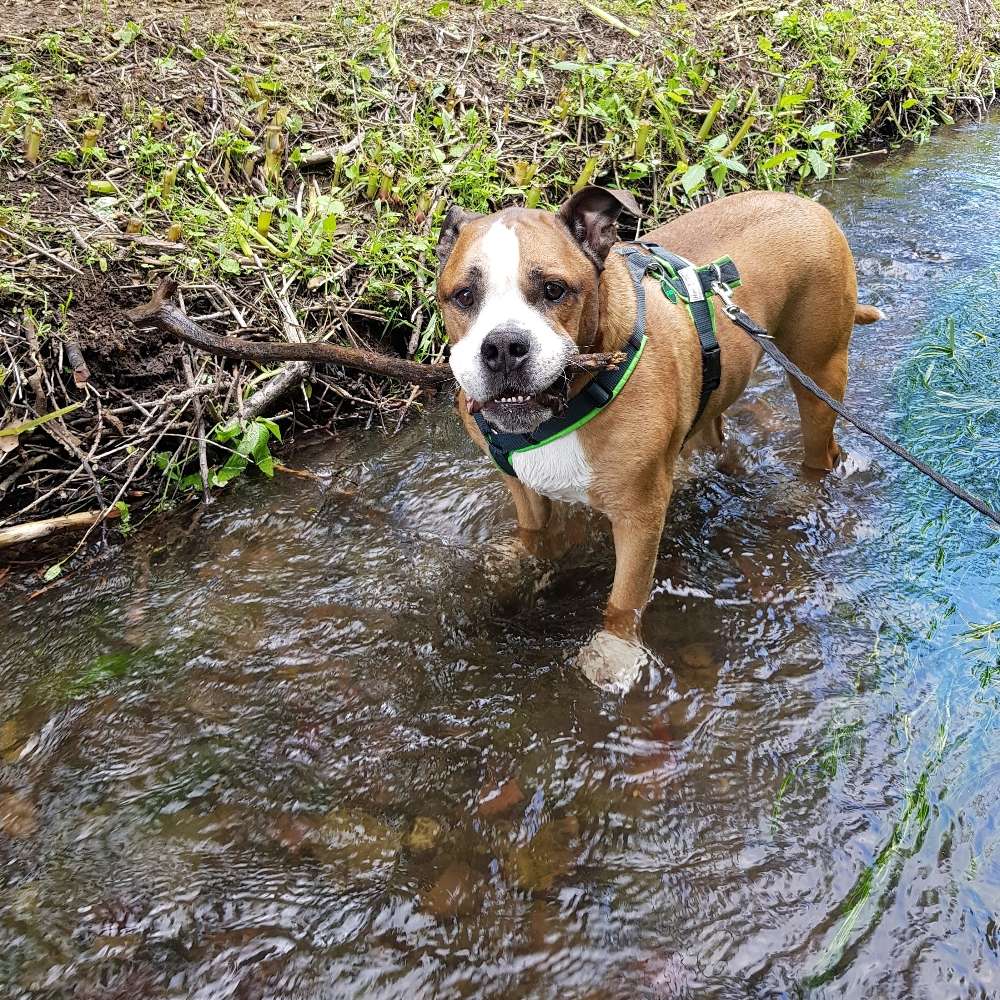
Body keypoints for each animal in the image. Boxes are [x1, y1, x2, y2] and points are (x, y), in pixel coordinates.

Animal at [434, 188, 880, 688]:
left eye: (553, 290)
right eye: (464, 296)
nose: (503, 347)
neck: (572, 401)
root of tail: (808, 204)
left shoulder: (638, 516)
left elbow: (624, 597)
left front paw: (616, 652)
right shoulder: (522, 486)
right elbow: (534, 535)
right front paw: (517, 563)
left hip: (819, 372)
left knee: (820, 452)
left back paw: (802, 498)